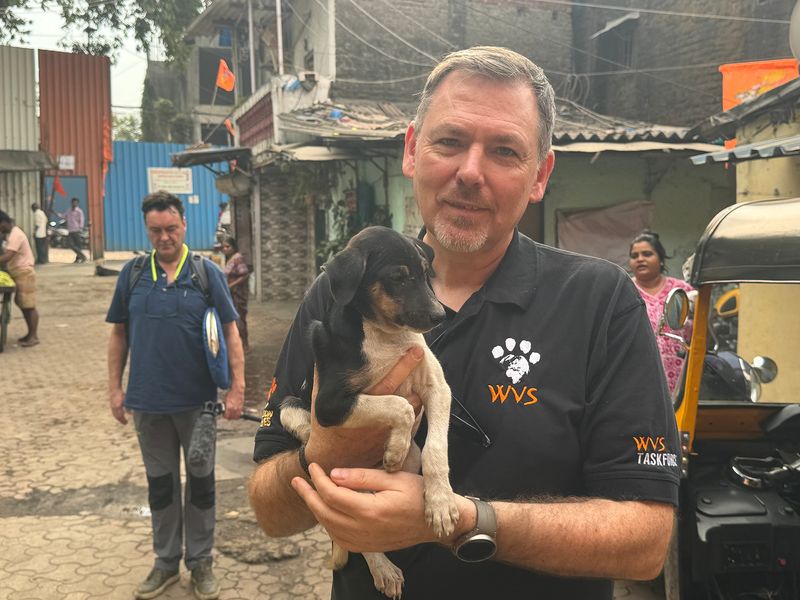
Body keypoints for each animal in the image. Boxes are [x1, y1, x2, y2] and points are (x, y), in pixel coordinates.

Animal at [282, 226, 456, 600]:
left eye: (426, 273)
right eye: (398, 278)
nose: (440, 316)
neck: (386, 336)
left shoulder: (438, 388)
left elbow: (437, 449)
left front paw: (440, 502)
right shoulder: (330, 404)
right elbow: (399, 405)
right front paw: (393, 449)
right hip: (291, 403)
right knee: (358, 532)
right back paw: (384, 569)